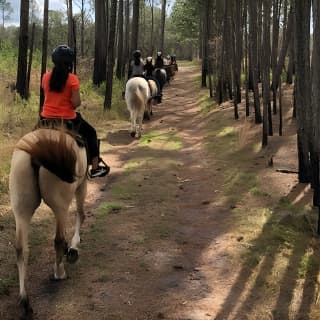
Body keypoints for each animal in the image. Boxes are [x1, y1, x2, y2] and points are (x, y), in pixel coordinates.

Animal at [9, 127, 88, 318]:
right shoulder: (82, 185)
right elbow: (81, 215)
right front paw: (73, 248)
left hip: (21, 209)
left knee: (20, 249)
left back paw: (25, 301)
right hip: (61, 204)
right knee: (58, 239)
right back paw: (59, 272)